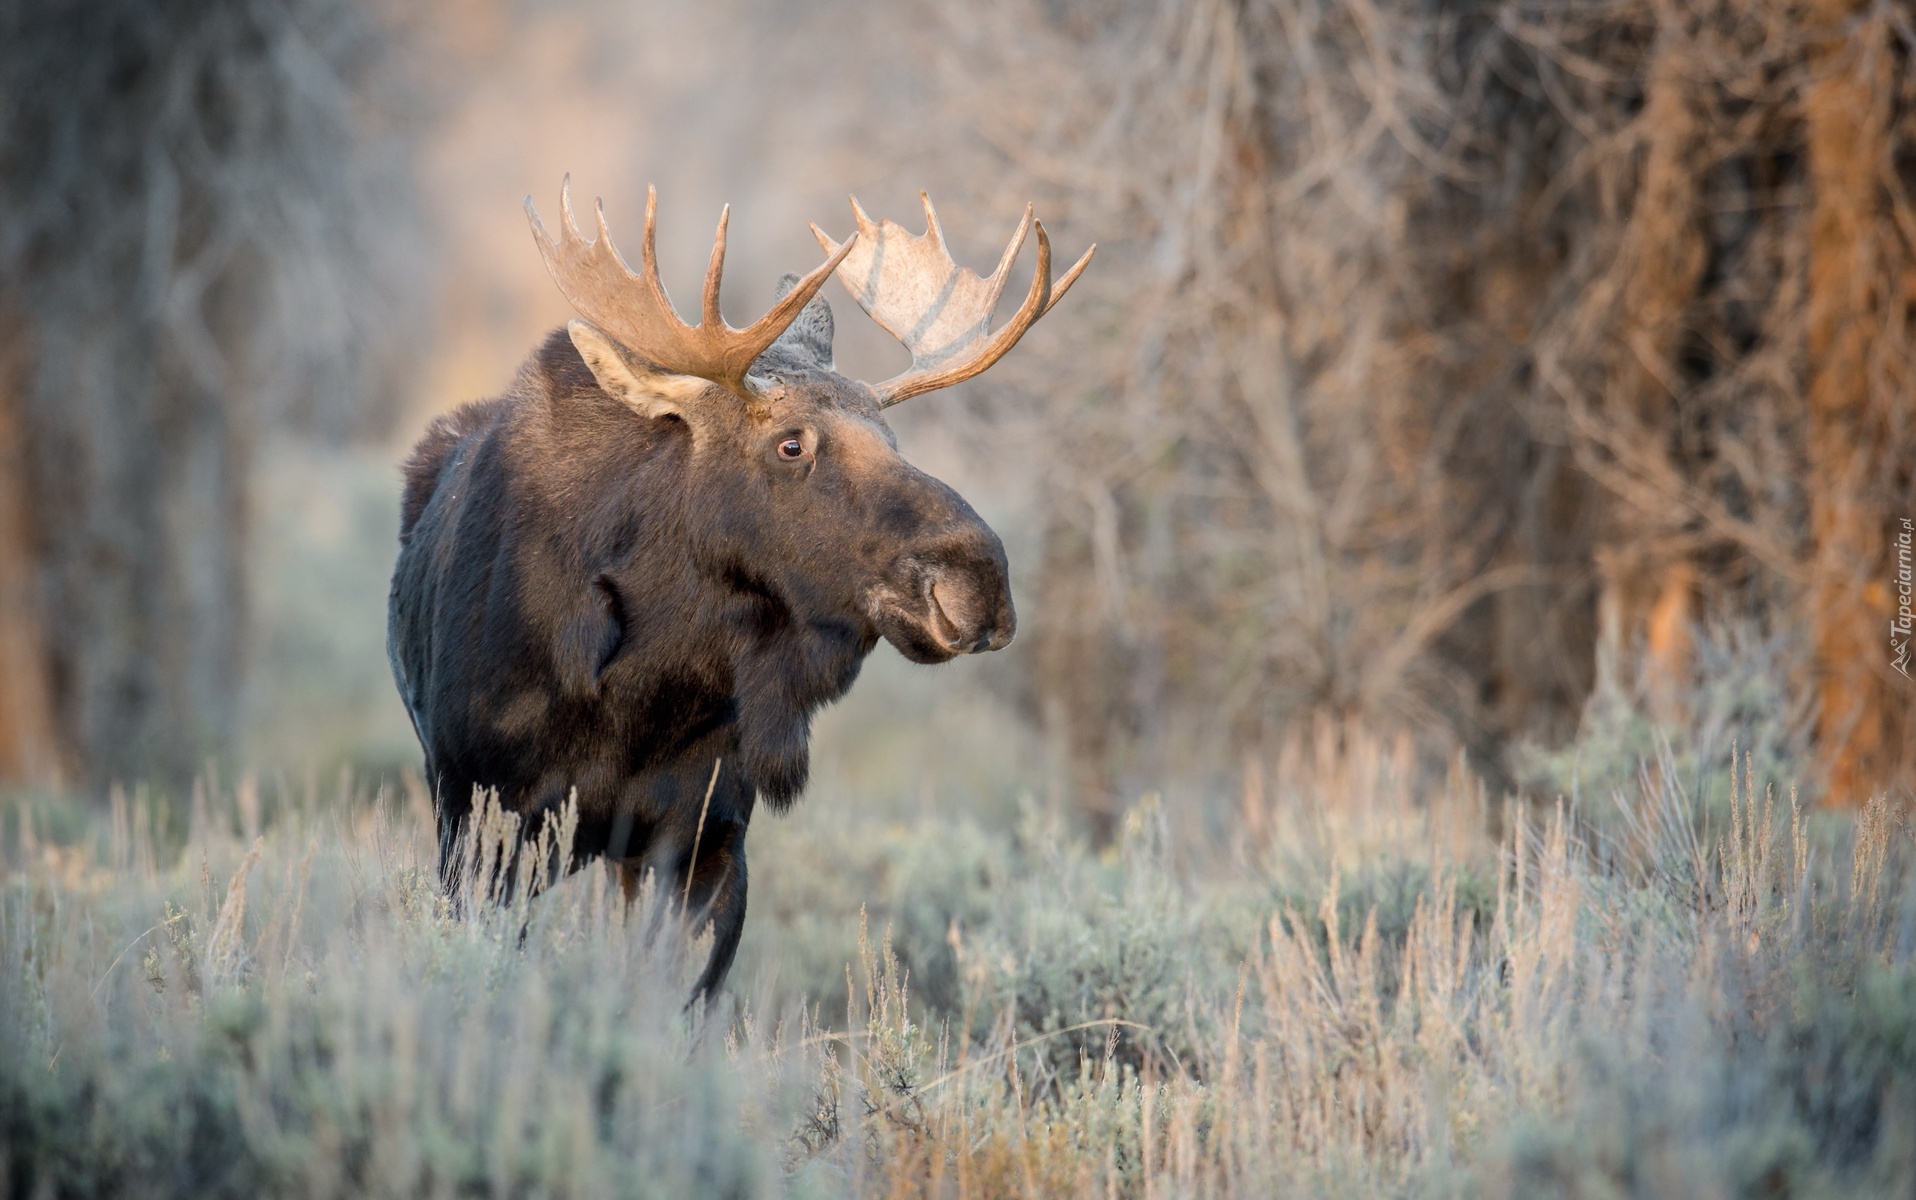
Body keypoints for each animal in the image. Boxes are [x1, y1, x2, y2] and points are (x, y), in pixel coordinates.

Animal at [388, 182, 1095, 996]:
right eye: (791, 444)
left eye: (894, 441)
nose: (978, 581)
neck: (637, 692)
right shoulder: (483, 824)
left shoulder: (707, 837)